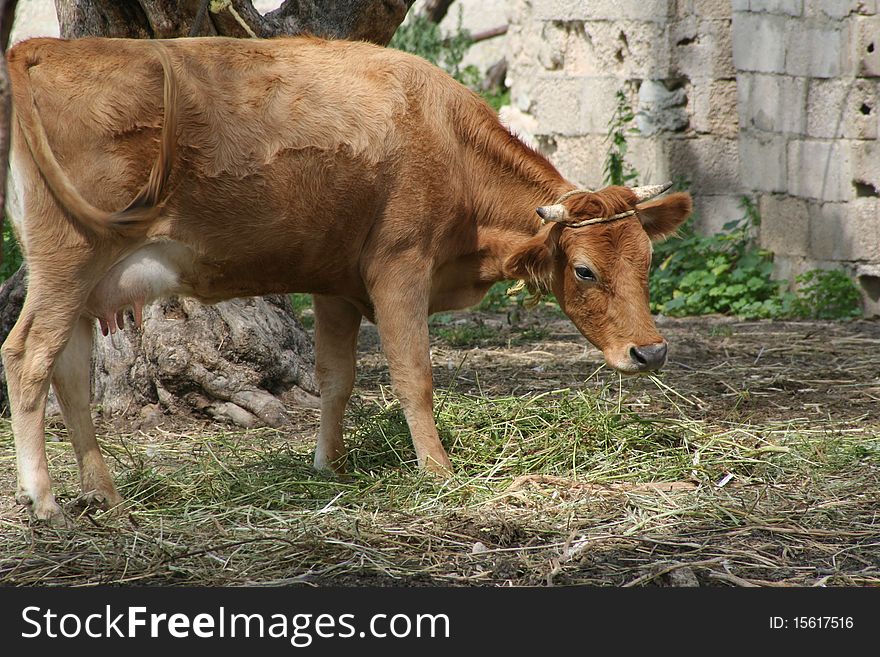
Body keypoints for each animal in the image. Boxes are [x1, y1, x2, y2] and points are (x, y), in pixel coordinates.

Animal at [3, 36, 692, 520]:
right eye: (584, 269)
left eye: (646, 261)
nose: (651, 352)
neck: (447, 141)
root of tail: (43, 46)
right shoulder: (399, 268)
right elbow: (414, 376)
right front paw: (438, 472)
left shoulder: (334, 284)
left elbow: (336, 379)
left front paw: (327, 467)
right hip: (67, 262)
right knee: (27, 357)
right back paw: (44, 500)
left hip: (87, 284)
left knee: (69, 374)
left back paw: (106, 496)